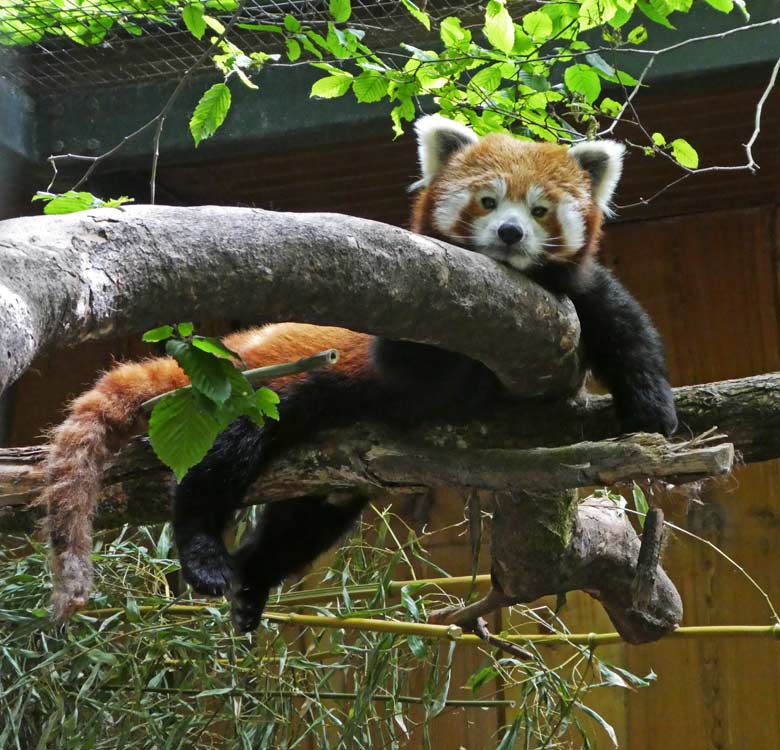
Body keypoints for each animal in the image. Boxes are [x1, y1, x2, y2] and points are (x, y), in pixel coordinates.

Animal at [41, 114, 676, 628]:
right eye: (488, 202)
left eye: (540, 209)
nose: (511, 232)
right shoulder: (425, 306)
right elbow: (419, 364)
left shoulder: (577, 293)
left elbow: (626, 328)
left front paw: (654, 412)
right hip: (270, 388)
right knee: (222, 459)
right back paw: (204, 555)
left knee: (310, 519)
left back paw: (252, 580)